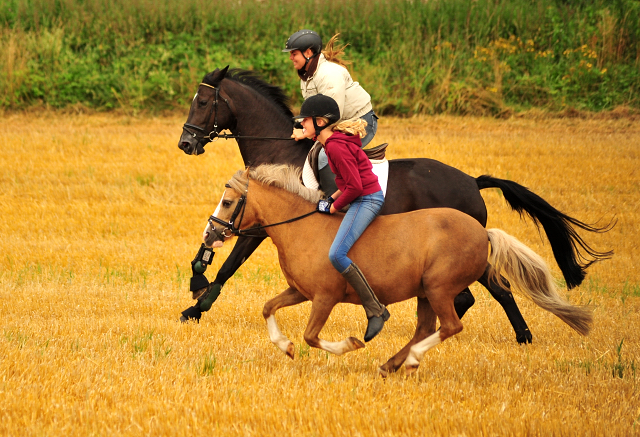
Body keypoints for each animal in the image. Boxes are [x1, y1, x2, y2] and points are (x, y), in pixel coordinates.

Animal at [178, 67, 612, 344]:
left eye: (203, 101)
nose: (186, 143)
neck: (279, 150)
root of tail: (472, 181)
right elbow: (209, 254)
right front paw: (197, 285)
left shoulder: (259, 225)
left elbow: (229, 264)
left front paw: (196, 305)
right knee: (469, 295)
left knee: (496, 290)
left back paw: (518, 336)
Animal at [202, 164, 592, 374]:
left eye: (228, 201)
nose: (209, 234)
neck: (303, 227)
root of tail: (483, 232)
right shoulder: (300, 291)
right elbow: (268, 308)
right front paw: (284, 346)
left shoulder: (325, 296)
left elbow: (312, 336)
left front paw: (351, 343)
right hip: (425, 293)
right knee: (427, 327)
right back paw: (391, 364)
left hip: (438, 287)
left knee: (451, 325)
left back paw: (411, 359)